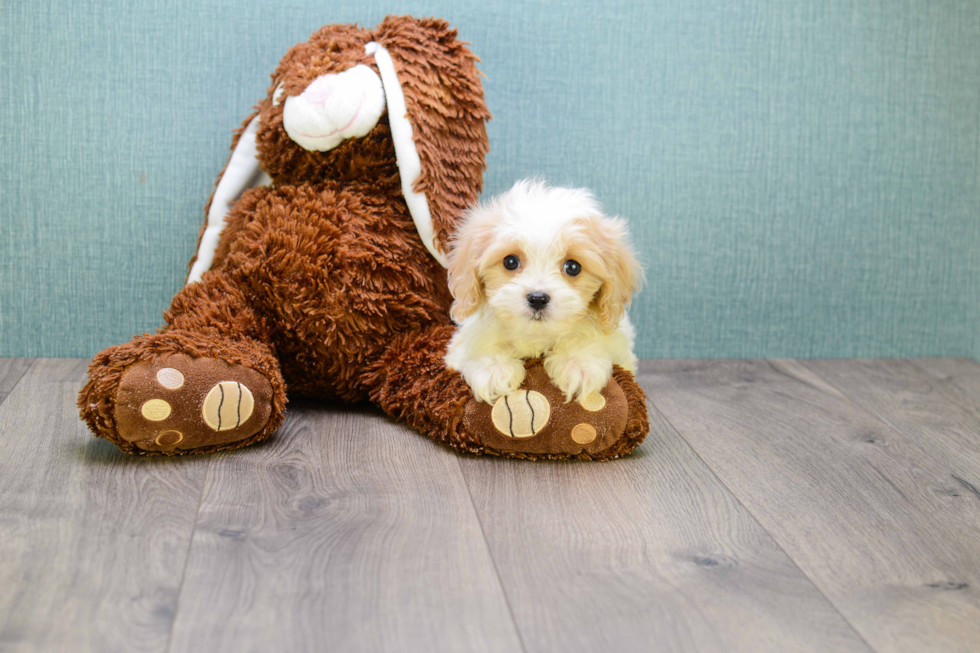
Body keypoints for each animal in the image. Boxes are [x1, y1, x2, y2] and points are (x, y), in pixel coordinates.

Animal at [444, 180, 644, 402]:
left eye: (573, 267)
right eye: (510, 261)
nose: (538, 298)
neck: (536, 336)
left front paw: (579, 363)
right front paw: (492, 368)